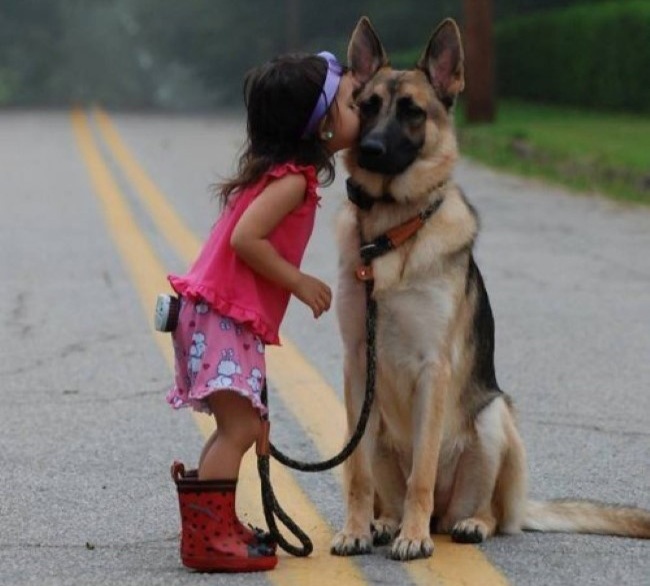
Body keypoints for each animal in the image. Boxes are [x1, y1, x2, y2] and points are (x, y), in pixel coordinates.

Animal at [332, 16, 644, 560]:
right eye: (367, 106)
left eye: (412, 111)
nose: (369, 150)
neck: (392, 231)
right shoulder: (356, 365)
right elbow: (357, 472)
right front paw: (356, 529)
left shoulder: (433, 368)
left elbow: (422, 471)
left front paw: (413, 538)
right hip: (384, 430)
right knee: (386, 488)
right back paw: (386, 522)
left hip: (495, 418)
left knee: (490, 514)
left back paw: (459, 524)